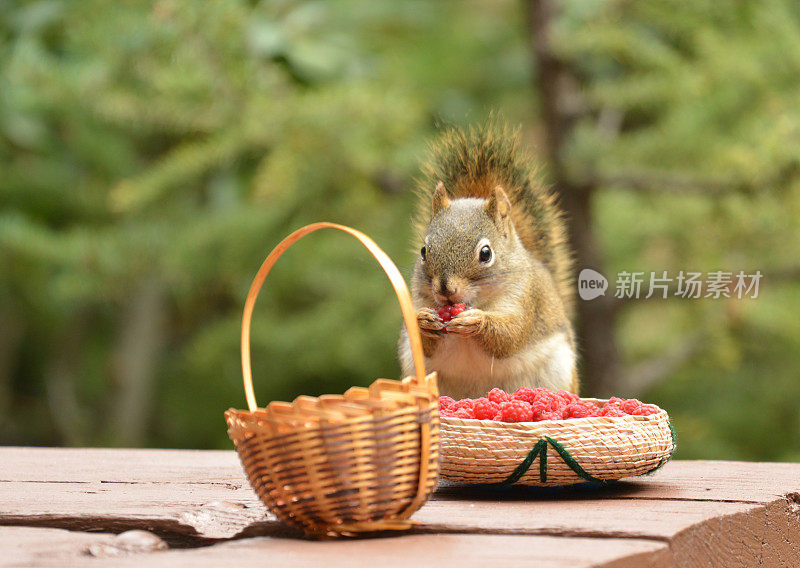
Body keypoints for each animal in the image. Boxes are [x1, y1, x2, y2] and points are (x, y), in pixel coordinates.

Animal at [398, 122, 576, 400]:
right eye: (424, 250)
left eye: (485, 253)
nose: (445, 289)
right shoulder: (418, 297)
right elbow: (423, 344)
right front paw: (423, 321)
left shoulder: (525, 297)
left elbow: (510, 335)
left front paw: (476, 321)